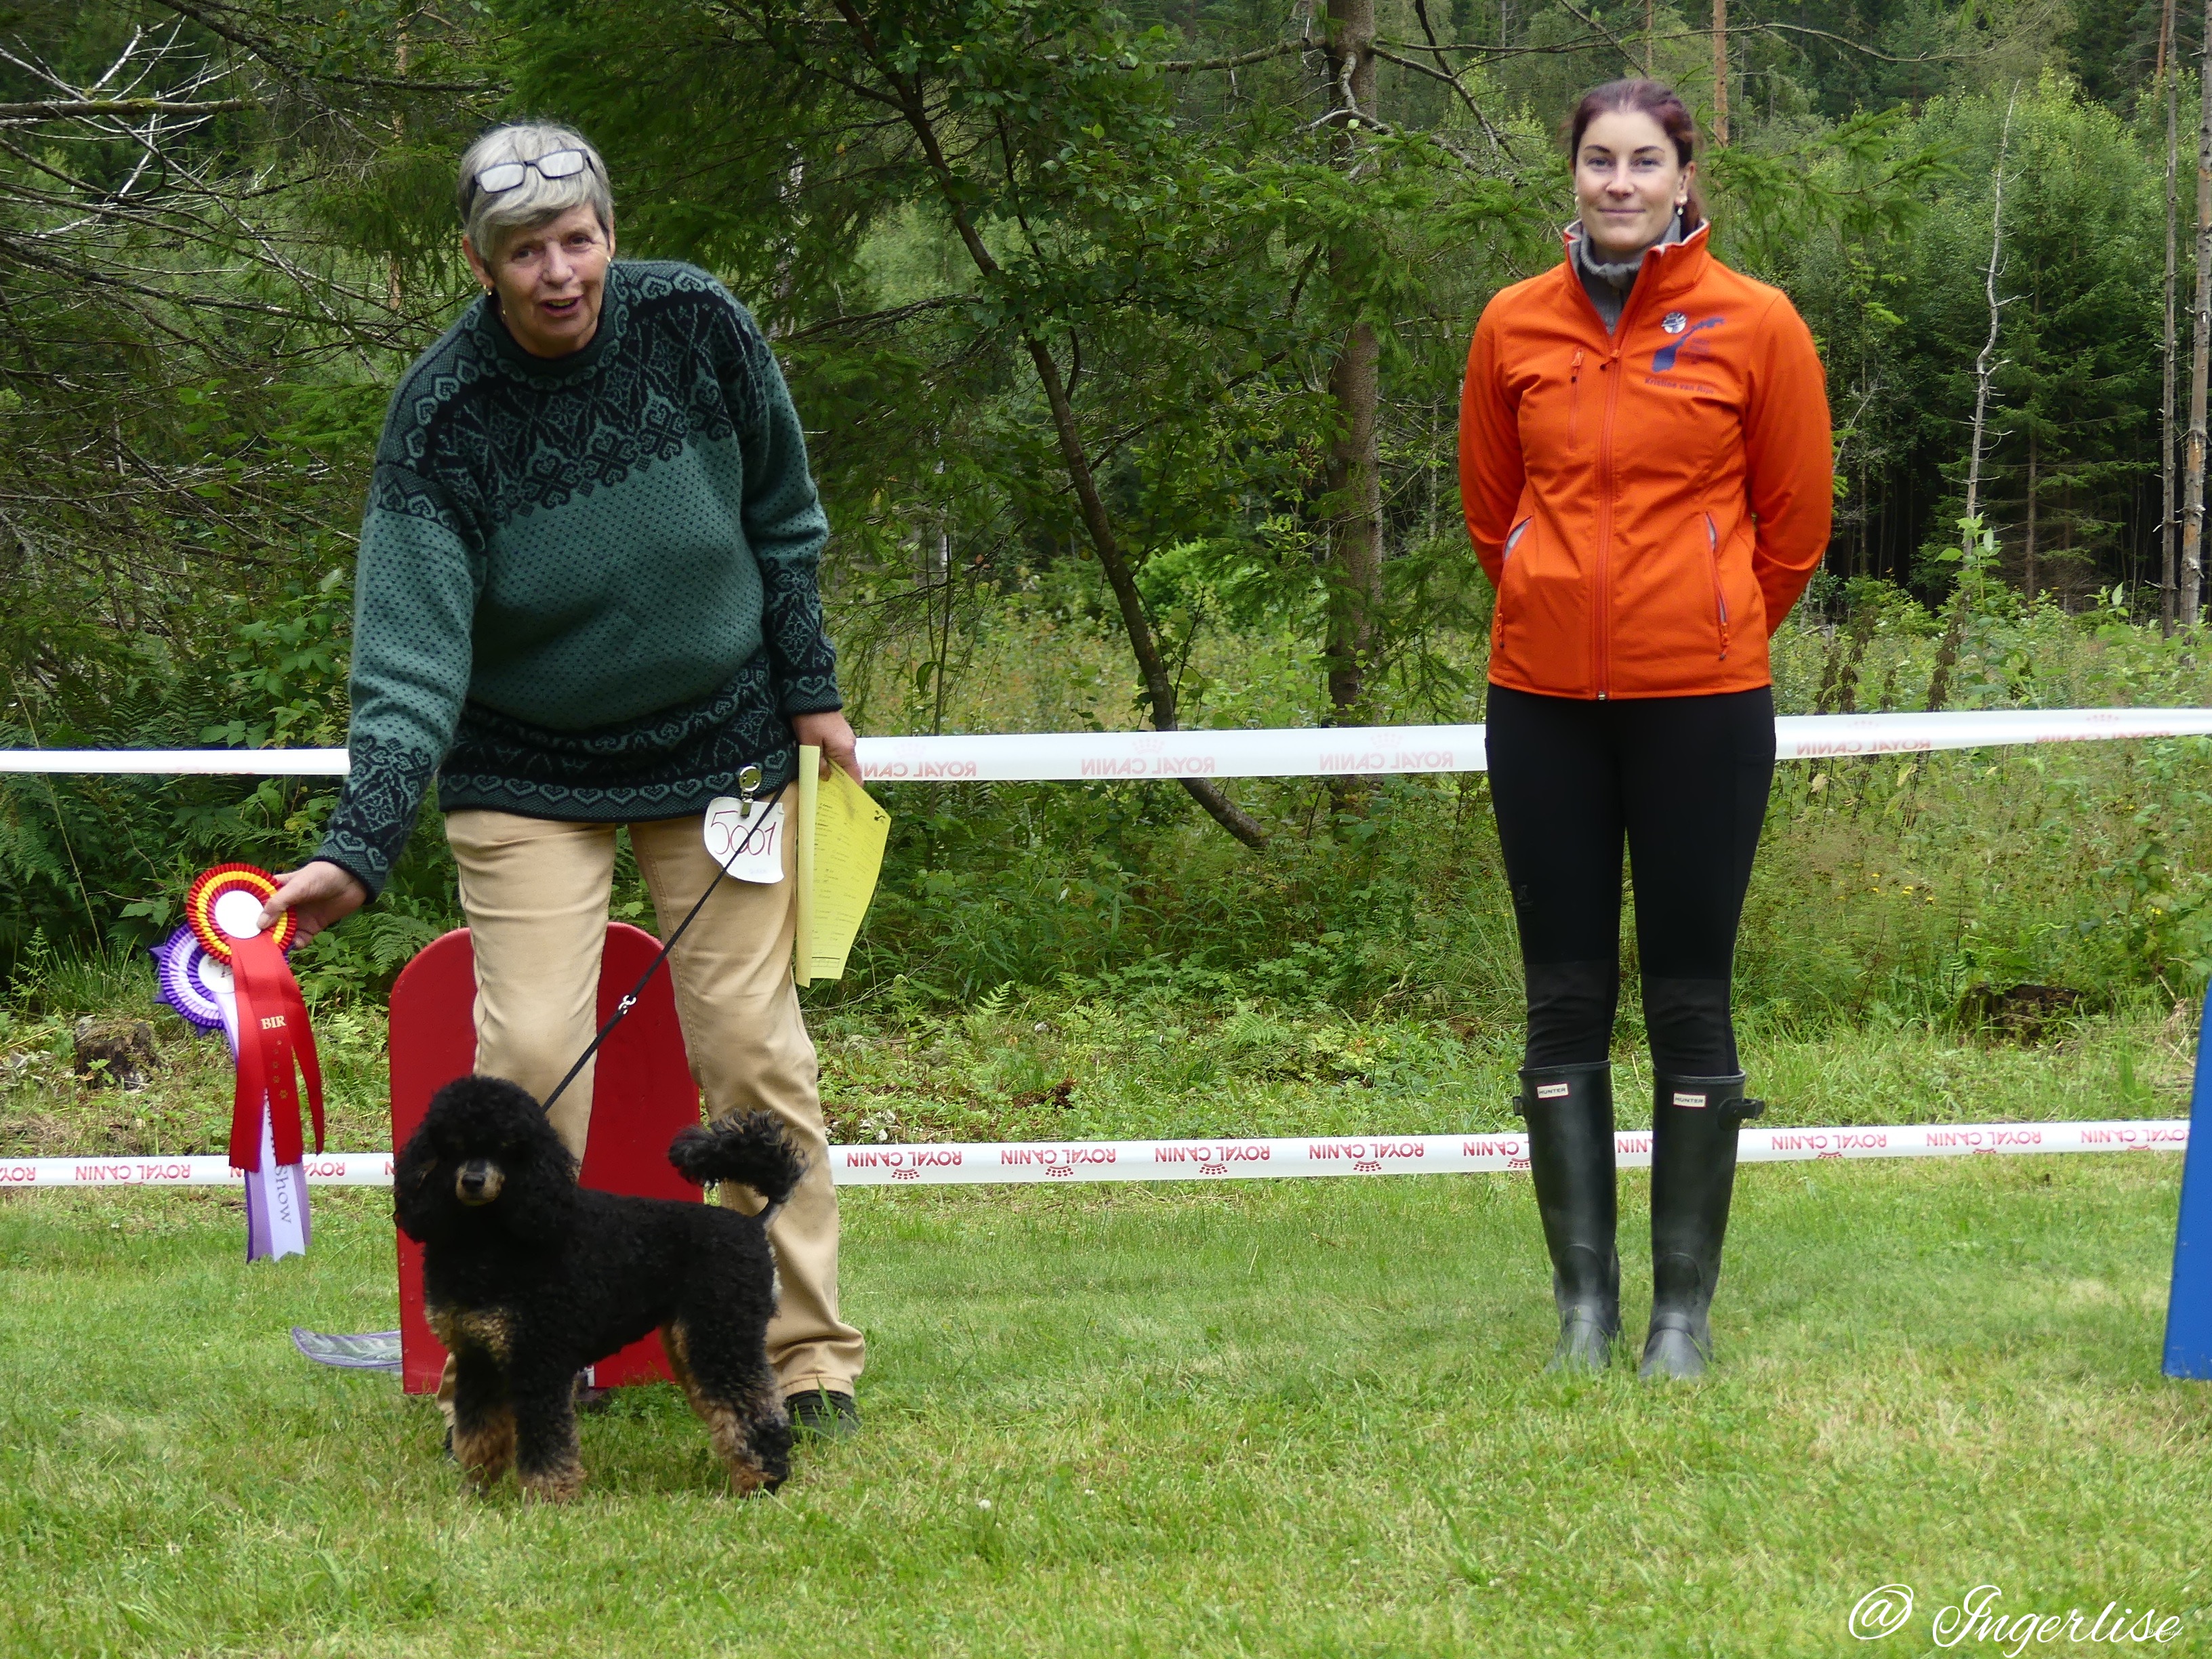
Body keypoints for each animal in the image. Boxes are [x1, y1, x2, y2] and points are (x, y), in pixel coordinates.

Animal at [394, 1074, 804, 1501]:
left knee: (752, 1408)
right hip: (691, 1340)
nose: (473, 1181)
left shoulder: (538, 1359)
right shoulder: (478, 1358)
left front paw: (549, 1496)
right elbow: (480, 1434)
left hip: (723, 1331)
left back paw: (763, 1480)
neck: (491, 1240)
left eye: (509, 1148)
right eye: (452, 1146)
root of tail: (754, 1225)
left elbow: (546, 1440)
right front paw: (477, 1488)